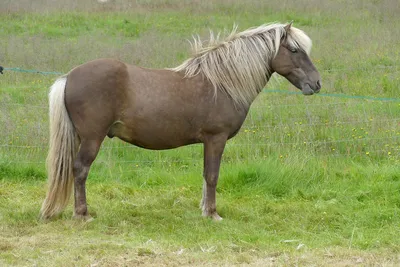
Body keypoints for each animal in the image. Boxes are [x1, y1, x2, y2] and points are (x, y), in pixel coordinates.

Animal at [39, 23, 322, 221]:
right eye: (294, 50)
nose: (316, 83)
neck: (221, 83)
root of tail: (69, 76)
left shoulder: (209, 142)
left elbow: (206, 175)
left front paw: (205, 209)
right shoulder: (216, 139)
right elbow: (212, 176)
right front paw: (213, 214)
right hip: (91, 139)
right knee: (80, 170)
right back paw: (82, 214)